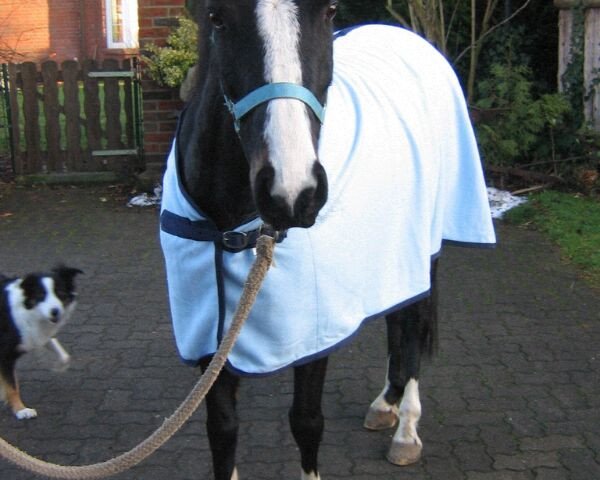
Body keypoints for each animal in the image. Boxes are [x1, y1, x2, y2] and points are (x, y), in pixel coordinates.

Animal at [0, 266, 81, 420]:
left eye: (60, 293)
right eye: (41, 295)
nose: (55, 312)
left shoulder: (37, 334)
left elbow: (63, 355)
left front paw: (59, 366)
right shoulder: (5, 355)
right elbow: (12, 386)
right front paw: (21, 410)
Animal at [162, 0, 494, 480]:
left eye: (330, 10)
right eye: (218, 18)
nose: (291, 191)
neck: (231, 225)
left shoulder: (312, 330)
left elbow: (306, 421)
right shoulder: (208, 331)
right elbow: (222, 431)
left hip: (426, 248)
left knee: (412, 327)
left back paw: (406, 430)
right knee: (396, 322)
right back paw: (386, 403)